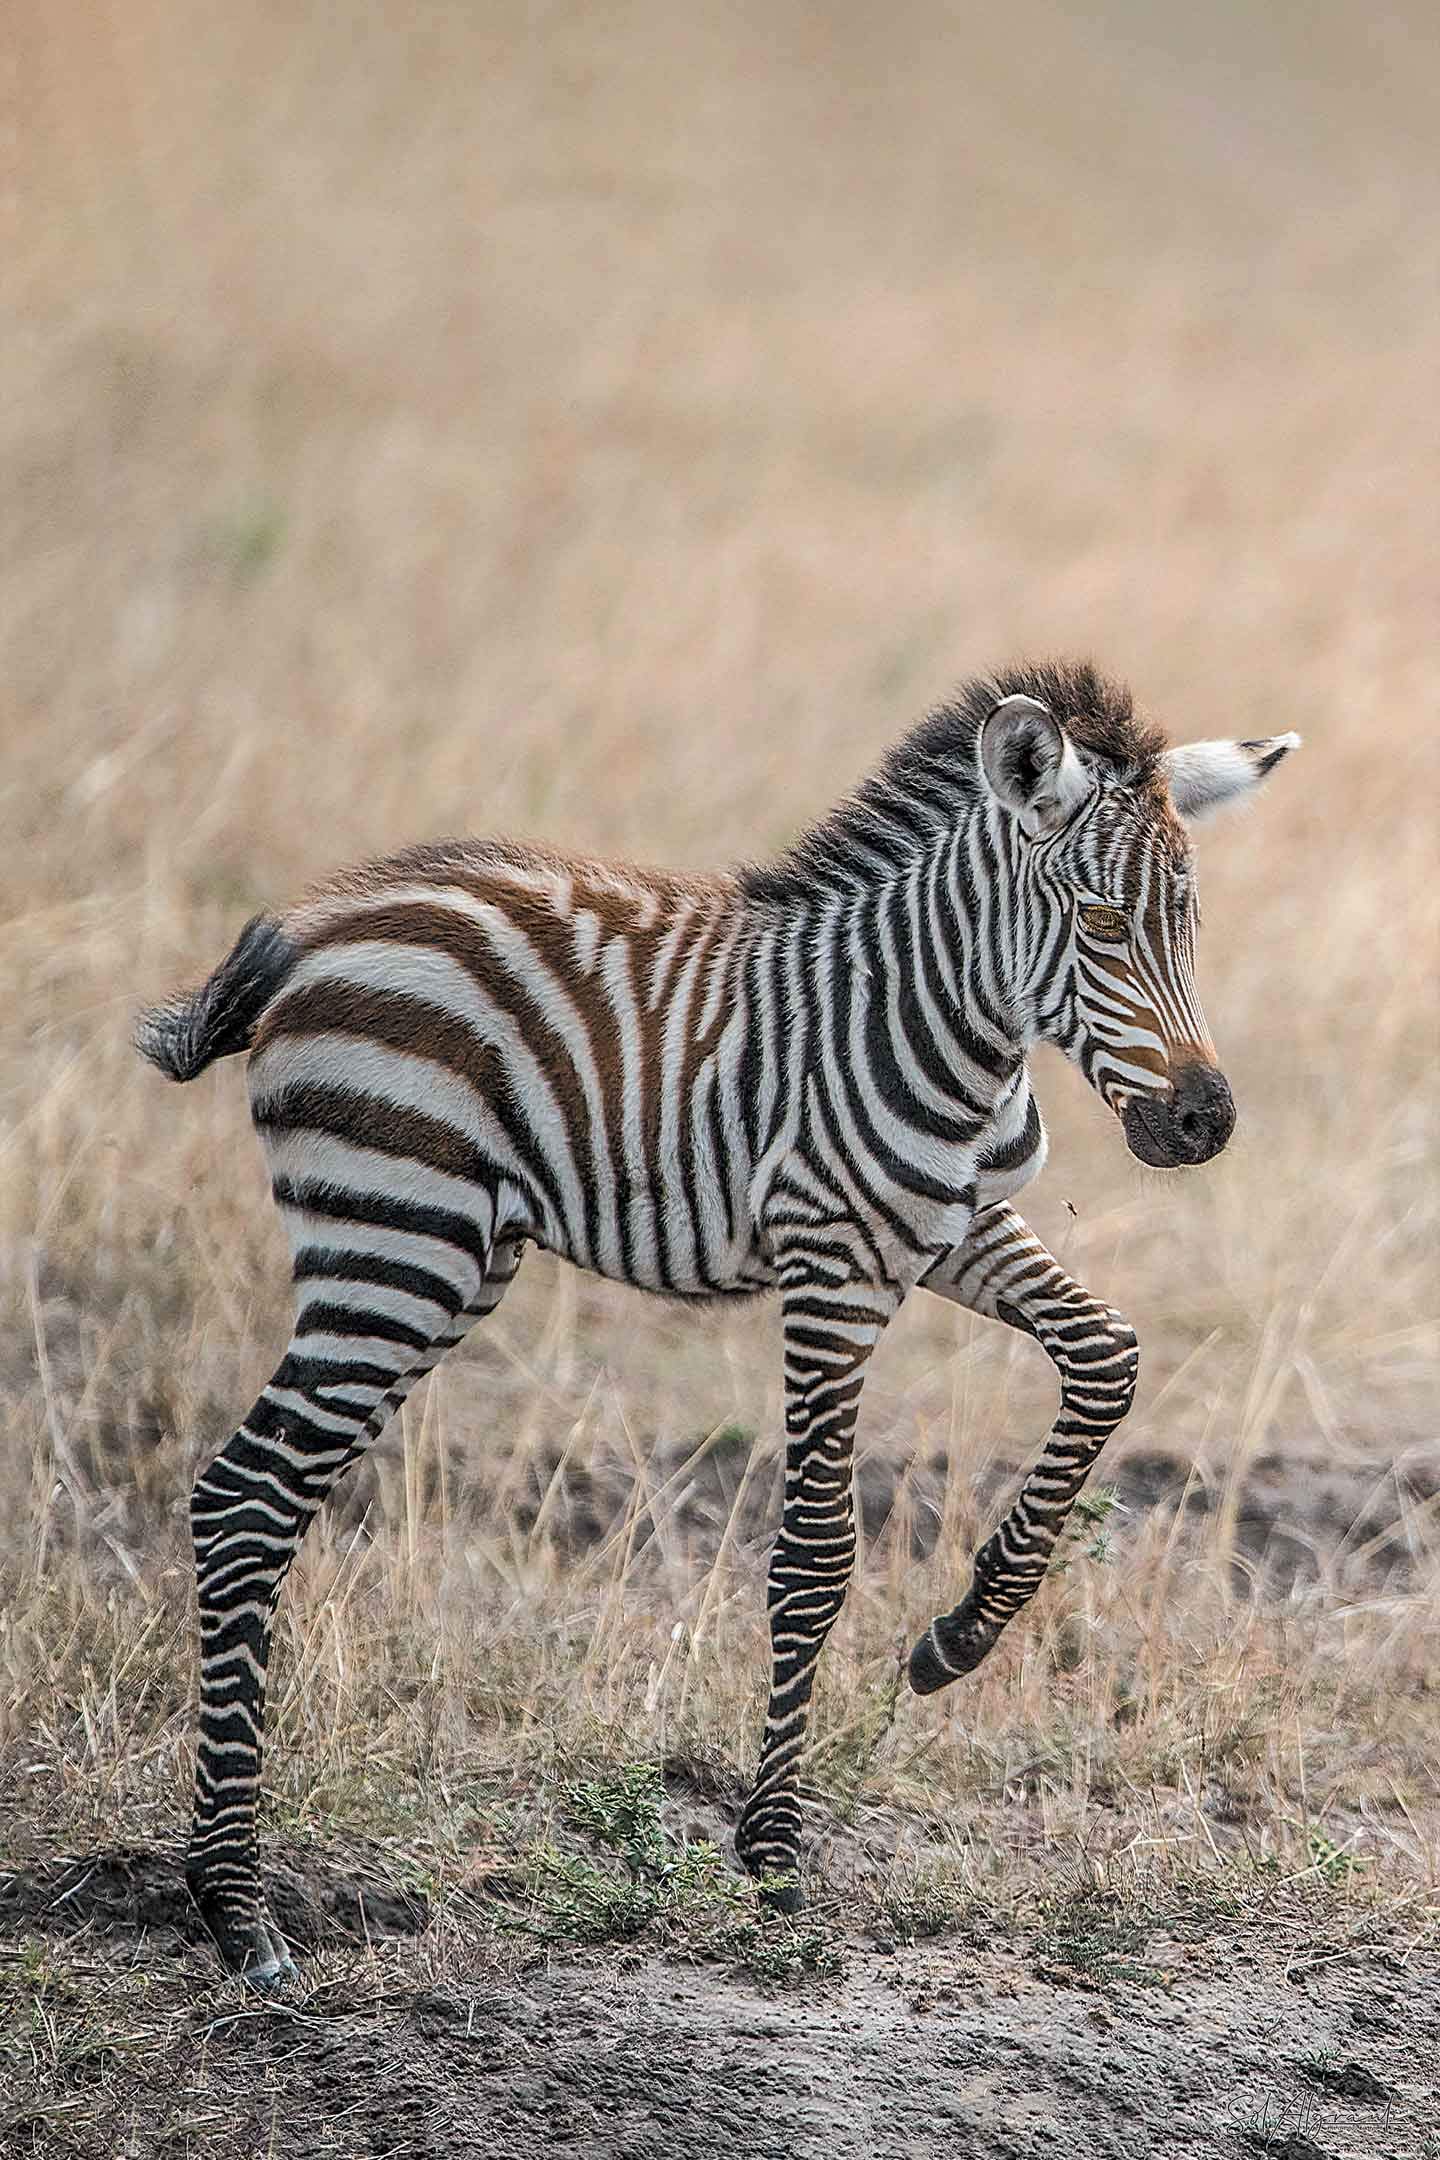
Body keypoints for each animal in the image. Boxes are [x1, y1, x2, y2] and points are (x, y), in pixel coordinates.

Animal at [136, 659, 1299, 1985]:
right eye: (1103, 926)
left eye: (1189, 928)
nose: (1205, 1124)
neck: (946, 1026)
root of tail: (309, 926)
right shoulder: (833, 1267)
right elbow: (816, 1554)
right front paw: (775, 1859)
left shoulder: (956, 1232)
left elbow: (1108, 1358)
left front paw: (959, 1639)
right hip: (398, 1242)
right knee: (245, 1498)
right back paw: (236, 1909)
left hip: (444, 1257)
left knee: (267, 1497)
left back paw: (227, 1886)